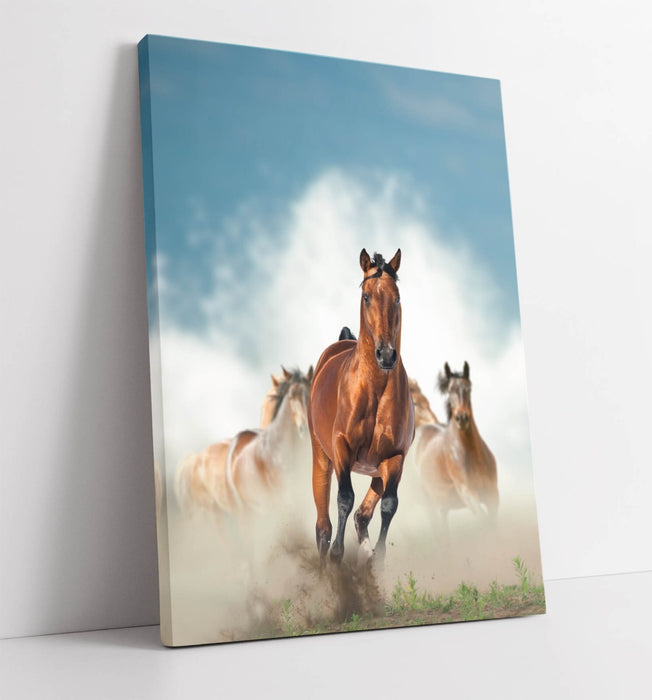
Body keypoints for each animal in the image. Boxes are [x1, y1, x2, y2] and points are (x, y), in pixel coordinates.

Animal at [308, 249, 415, 567]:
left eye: (397, 298)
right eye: (366, 296)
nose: (386, 355)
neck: (374, 390)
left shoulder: (394, 457)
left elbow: (388, 505)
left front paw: (376, 560)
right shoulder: (342, 448)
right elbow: (344, 498)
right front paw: (337, 555)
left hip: (377, 471)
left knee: (362, 515)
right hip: (322, 457)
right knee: (323, 524)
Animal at [414, 362, 498, 536]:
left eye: (468, 388)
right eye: (450, 390)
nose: (462, 418)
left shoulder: (493, 496)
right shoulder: (469, 494)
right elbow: (486, 525)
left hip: (442, 507)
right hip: (431, 506)